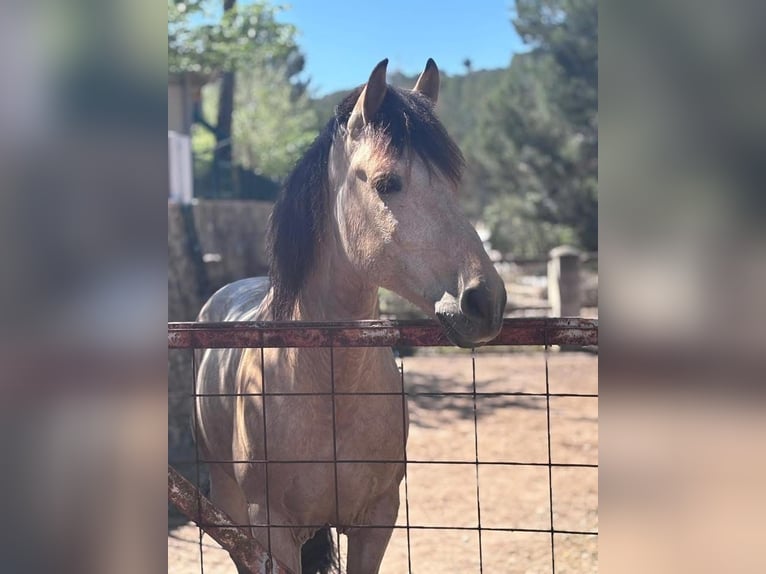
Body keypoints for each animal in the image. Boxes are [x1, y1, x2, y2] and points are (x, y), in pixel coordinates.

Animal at [195, 58, 507, 574]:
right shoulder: (270, 528)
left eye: (454, 185)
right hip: (231, 509)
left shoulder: (377, 519)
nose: (485, 302)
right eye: (386, 183)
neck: (324, 382)